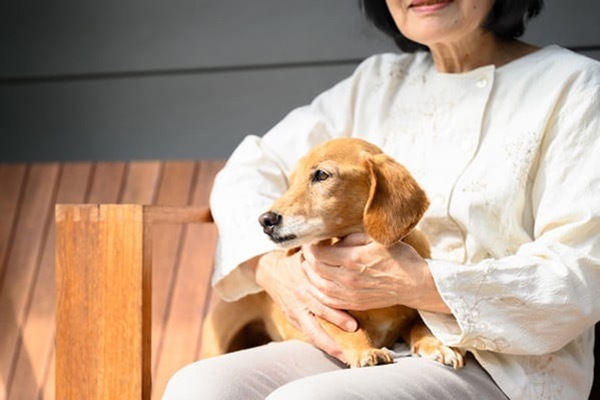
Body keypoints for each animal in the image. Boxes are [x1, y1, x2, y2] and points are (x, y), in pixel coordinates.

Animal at [202, 138, 464, 368]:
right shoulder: (321, 310)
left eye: (321, 175)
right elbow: (351, 331)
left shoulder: (414, 315)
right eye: (292, 182)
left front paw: (439, 346)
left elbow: (423, 326)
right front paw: (366, 352)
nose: (265, 220)